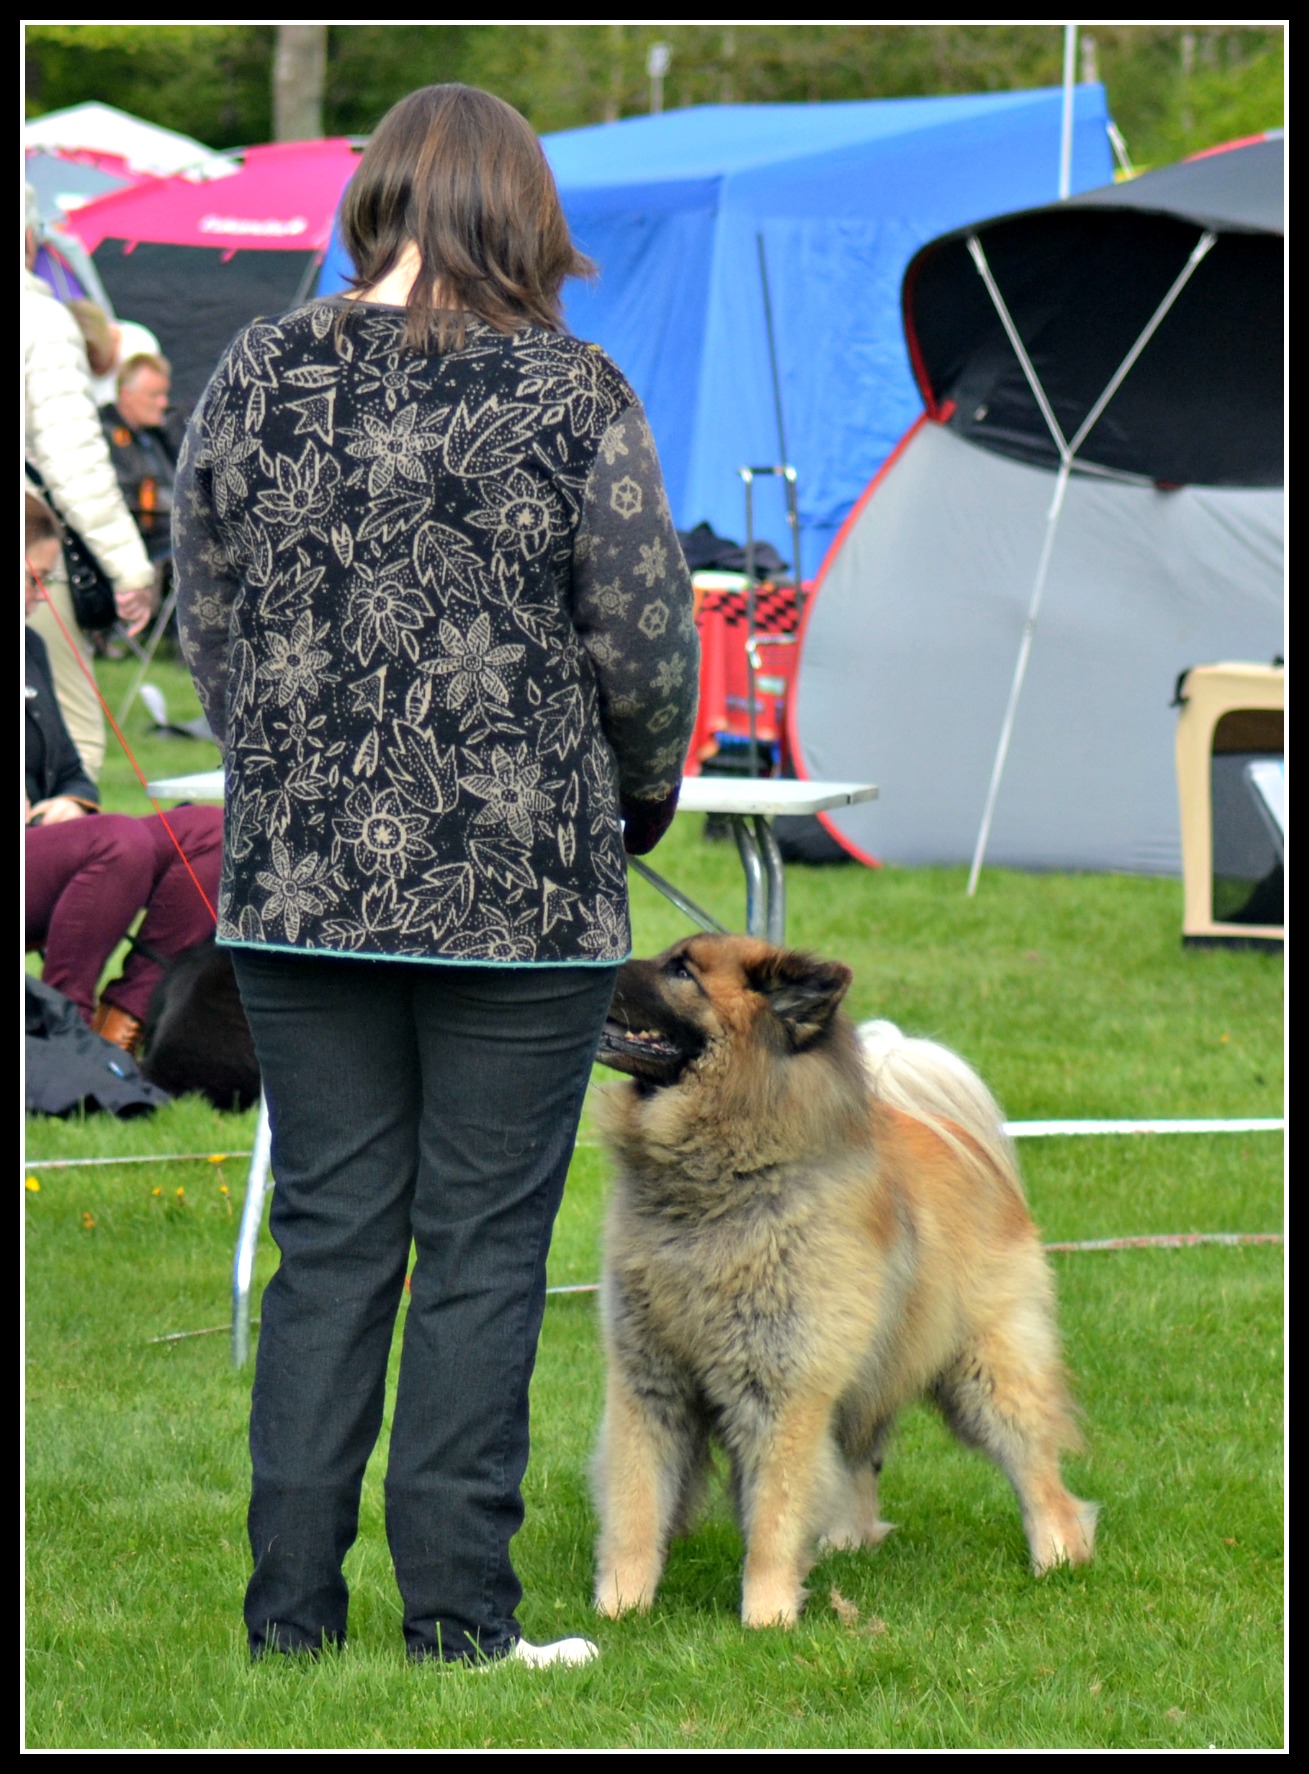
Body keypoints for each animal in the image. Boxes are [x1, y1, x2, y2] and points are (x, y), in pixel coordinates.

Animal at [591, 934, 1095, 1629]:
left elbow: (773, 1517)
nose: (592, 964)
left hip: (987, 1372)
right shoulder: (649, 1384)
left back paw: (1058, 1557)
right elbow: (636, 1507)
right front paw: (619, 1609)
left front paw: (767, 1617)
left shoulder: (785, 1390)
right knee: (862, 1452)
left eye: (682, 971)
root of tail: (962, 1141)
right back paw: (849, 1541)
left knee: (1038, 1469)